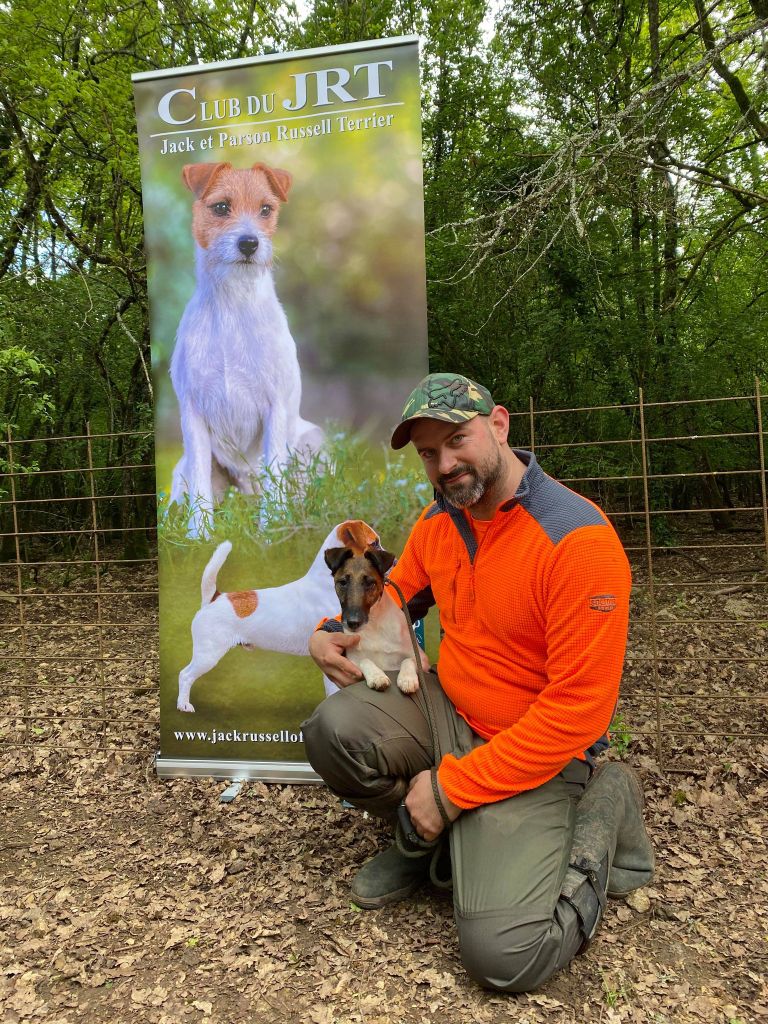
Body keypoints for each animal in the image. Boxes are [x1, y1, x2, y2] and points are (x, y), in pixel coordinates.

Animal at [169, 159, 323, 536]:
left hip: (314, 441)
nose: (249, 243)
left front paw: (271, 532)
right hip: (181, 473)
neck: (232, 305)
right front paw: (200, 537)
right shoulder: (193, 413)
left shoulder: (275, 407)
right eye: (221, 207)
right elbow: (201, 485)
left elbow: (275, 475)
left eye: (266, 209)